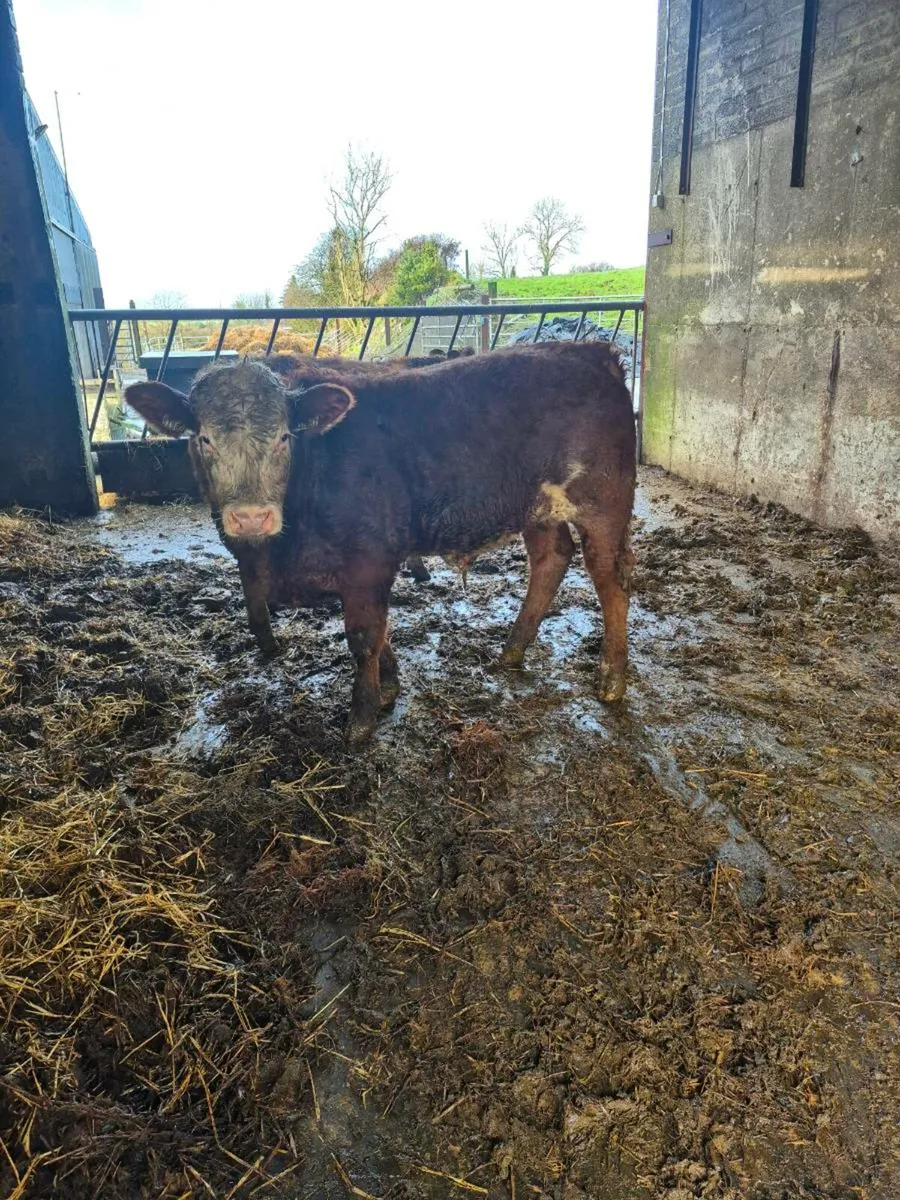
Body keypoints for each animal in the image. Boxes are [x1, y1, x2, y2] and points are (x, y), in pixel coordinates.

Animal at [125, 342, 635, 746]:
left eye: (285, 437)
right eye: (204, 438)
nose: (251, 516)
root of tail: (589, 351)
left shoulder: (369, 559)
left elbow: (363, 636)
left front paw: (362, 716)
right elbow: (379, 630)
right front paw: (389, 685)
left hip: (604, 504)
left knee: (610, 576)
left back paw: (611, 678)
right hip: (537, 509)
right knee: (551, 559)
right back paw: (513, 650)